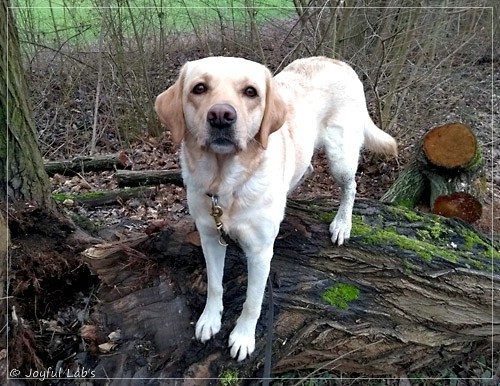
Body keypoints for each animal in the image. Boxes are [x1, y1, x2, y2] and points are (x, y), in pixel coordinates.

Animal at [154, 55, 396, 360]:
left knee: (350, 187)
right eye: (199, 88)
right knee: (306, 169)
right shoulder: (210, 237)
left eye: (251, 92)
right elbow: (214, 284)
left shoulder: (259, 253)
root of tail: (337, 61)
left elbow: (252, 301)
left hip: (340, 155)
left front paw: (243, 337)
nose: (221, 115)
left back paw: (342, 224)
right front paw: (210, 319)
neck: (226, 184)